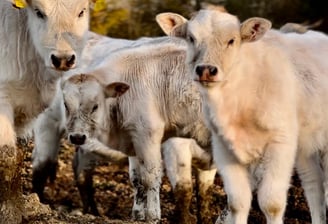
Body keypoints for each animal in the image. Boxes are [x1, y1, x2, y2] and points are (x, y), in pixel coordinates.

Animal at [0, 0, 92, 222]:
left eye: (81, 11)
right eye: (39, 12)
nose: (63, 58)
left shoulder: (27, 110)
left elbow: (19, 154)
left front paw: (16, 209)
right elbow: (6, 155)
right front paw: (7, 214)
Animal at [155, 9, 328, 224]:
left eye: (232, 40)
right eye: (191, 38)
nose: (206, 70)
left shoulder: (280, 144)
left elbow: (272, 203)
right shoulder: (223, 147)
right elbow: (237, 203)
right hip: (306, 145)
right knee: (313, 183)